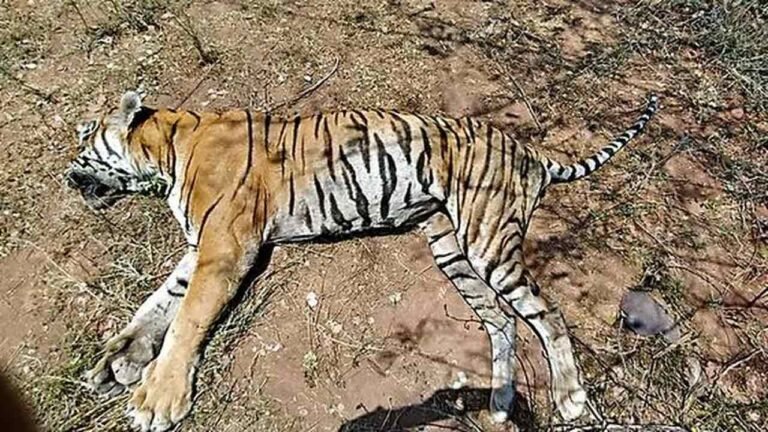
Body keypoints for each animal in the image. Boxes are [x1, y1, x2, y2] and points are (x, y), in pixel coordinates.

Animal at [66, 90, 658, 431]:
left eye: (85, 140)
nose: (68, 178)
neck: (167, 149)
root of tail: (530, 152)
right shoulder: (204, 246)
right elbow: (159, 303)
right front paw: (118, 359)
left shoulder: (224, 247)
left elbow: (188, 317)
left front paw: (157, 399)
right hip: (451, 247)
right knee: (502, 319)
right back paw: (499, 403)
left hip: (488, 240)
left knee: (546, 314)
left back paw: (570, 400)